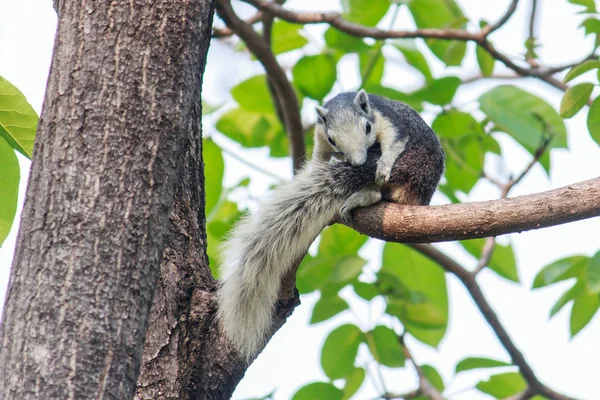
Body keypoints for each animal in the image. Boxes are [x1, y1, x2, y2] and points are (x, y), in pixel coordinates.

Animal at [213, 92, 442, 360]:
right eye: (333, 138)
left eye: (367, 127)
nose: (358, 162)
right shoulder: (320, 136)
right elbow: (319, 158)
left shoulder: (390, 121)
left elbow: (393, 142)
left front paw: (383, 165)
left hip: (414, 169)